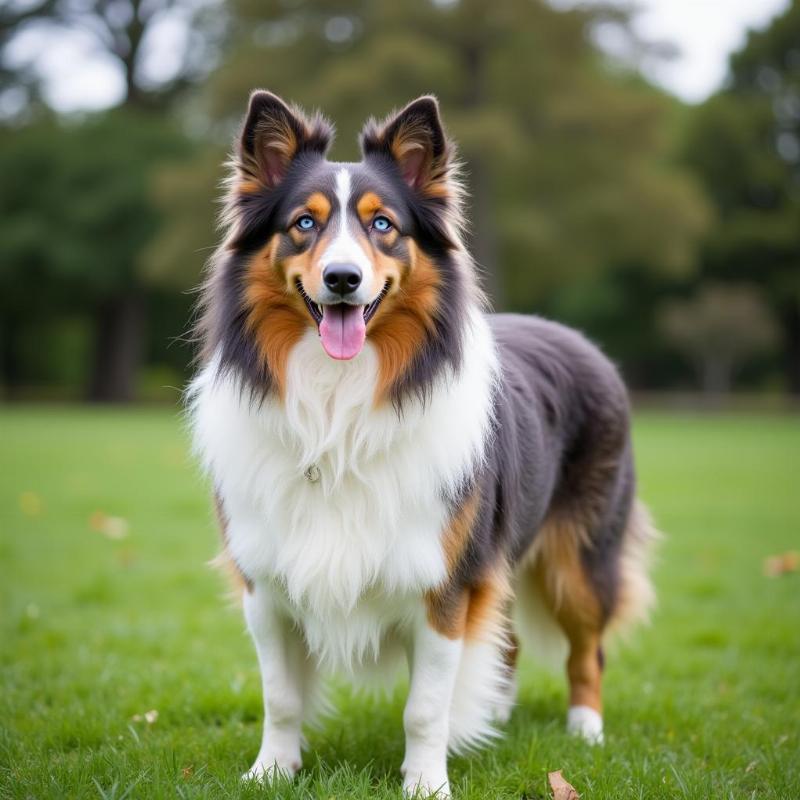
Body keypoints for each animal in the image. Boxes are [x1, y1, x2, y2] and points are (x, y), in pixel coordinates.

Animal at [188, 90, 656, 796]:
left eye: (384, 225)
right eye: (304, 223)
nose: (343, 278)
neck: (338, 404)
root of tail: (578, 340)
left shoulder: (444, 582)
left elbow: (426, 705)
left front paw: (426, 782)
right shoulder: (265, 581)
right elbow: (282, 695)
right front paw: (271, 771)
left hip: (581, 555)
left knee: (587, 649)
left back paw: (586, 730)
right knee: (510, 641)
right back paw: (497, 711)